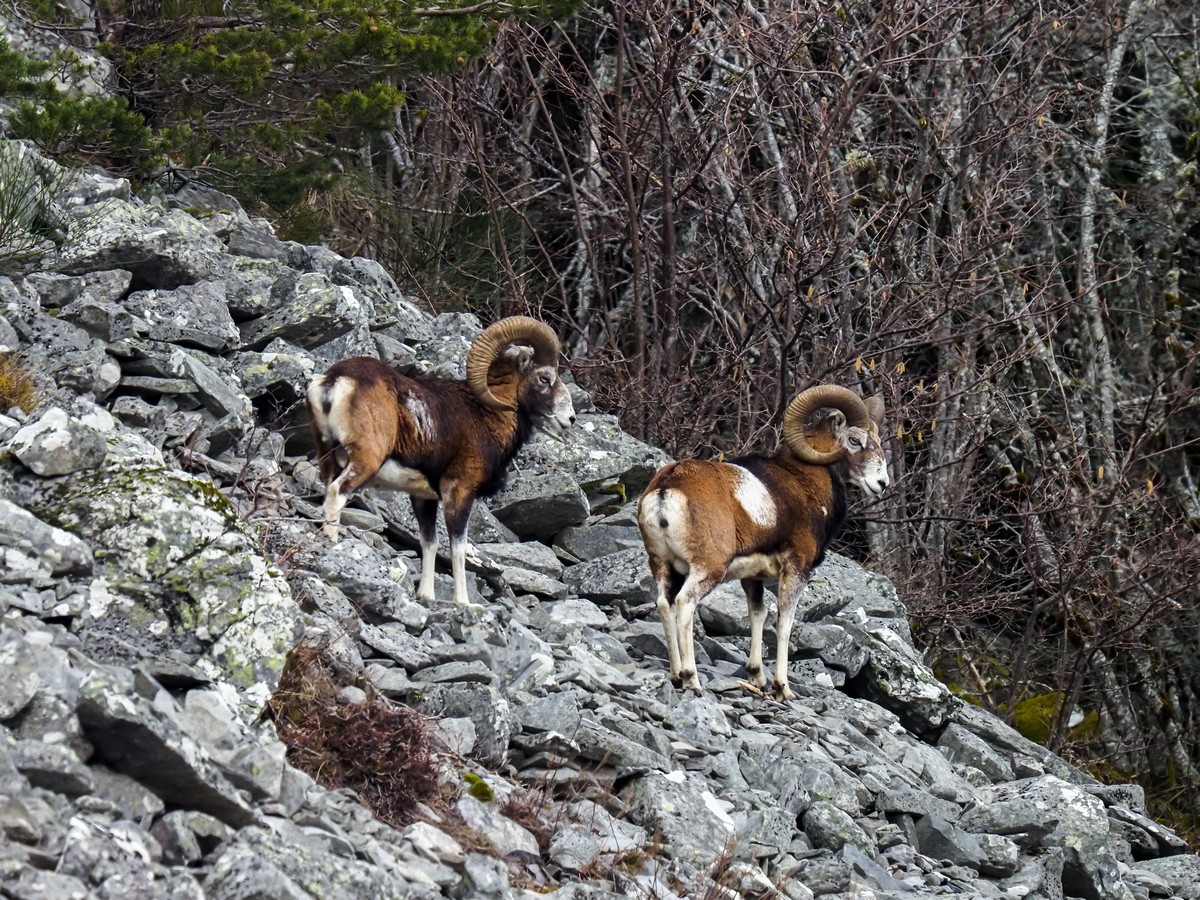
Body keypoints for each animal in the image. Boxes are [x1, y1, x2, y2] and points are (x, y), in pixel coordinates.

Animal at [306, 316, 576, 605]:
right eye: (545, 378)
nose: (570, 419)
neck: (486, 415)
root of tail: (335, 381)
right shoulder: (459, 491)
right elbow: (458, 548)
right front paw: (463, 602)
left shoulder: (423, 498)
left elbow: (430, 542)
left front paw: (426, 595)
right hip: (365, 461)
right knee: (338, 494)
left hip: (327, 457)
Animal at [636, 385, 889, 700]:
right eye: (855, 440)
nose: (882, 484)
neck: (805, 482)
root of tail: (667, 490)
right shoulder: (796, 569)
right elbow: (784, 624)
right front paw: (783, 689)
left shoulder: (753, 578)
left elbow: (757, 615)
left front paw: (757, 678)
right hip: (708, 569)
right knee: (684, 603)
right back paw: (691, 679)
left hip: (663, 566)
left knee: (663, 603)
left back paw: (674, 675)